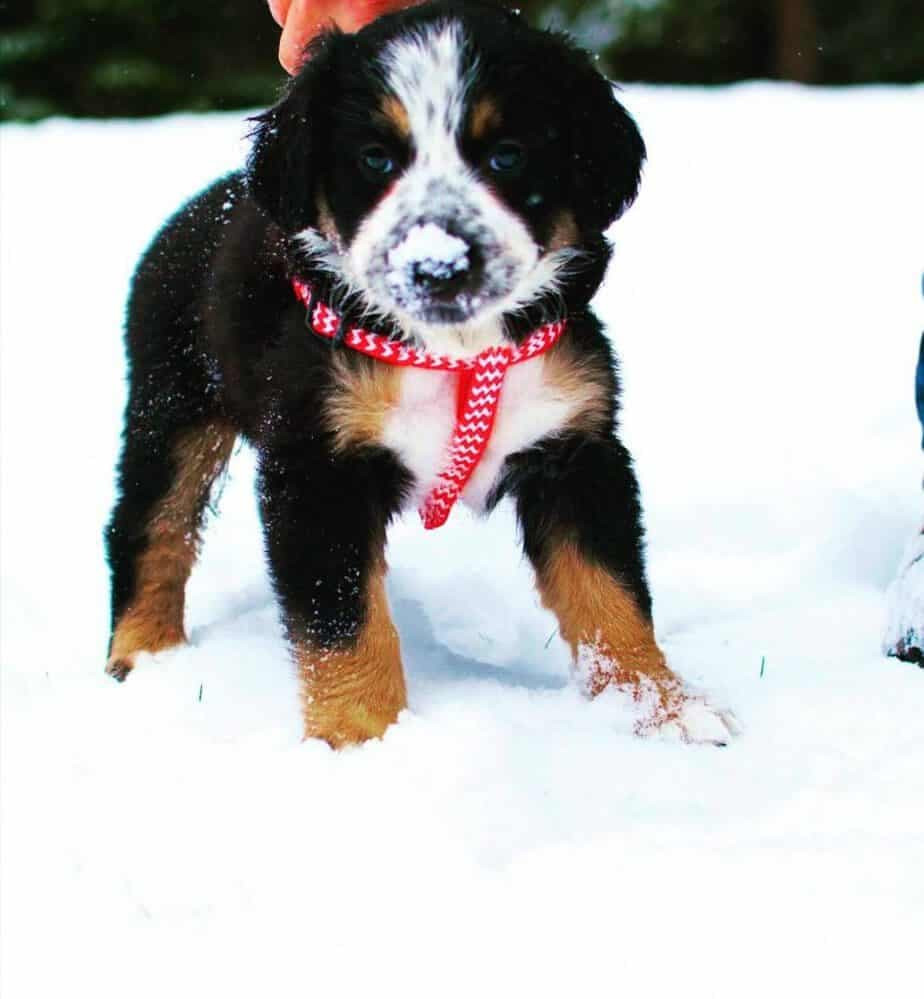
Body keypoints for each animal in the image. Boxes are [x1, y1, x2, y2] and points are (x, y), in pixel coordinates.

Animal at [104, 1, 736, 752]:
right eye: (375, 158)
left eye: (507, 154)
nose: (438, 265)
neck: (456, 350)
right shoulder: (317, 465)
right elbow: (342, 619)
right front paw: (362, 740)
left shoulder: (577, 449)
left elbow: (609, 591)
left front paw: (662, 709)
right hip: (173, 403)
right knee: (152, 524)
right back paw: (145, 657)